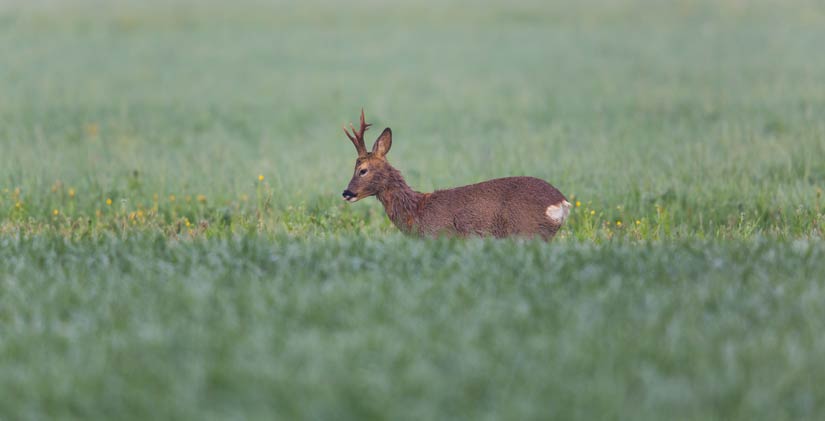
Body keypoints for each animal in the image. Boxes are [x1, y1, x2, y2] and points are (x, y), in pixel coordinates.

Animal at [338, 109, 568, 240]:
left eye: (362, 170)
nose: (346, 192)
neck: (417, 211)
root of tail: (561, 202)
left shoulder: (441, 236)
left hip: (526, 230)